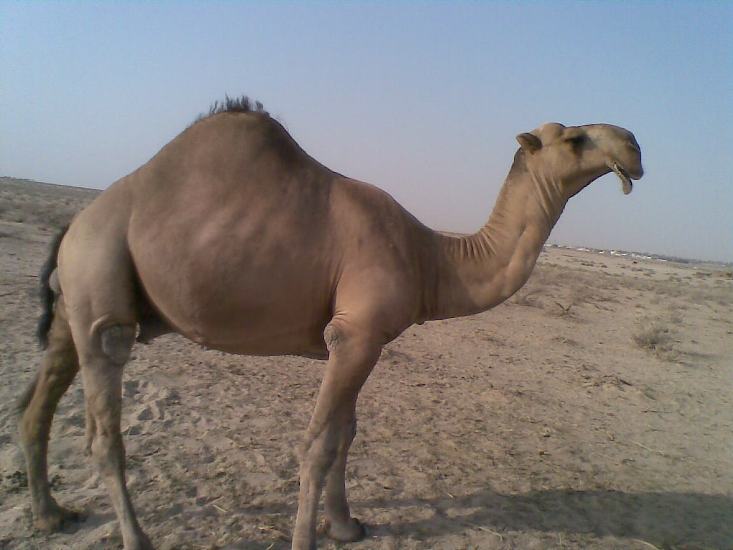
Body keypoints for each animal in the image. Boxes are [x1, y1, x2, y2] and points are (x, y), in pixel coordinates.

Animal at [16, 96, 643, 550]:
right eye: (574, 138)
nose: (635, 143)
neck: (429, 256)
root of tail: (74, 226)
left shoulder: (364, 340)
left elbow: (346, 433)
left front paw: (347, 526)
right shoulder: (355, 334)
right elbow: (318, 443)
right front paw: (308, 540)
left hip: (75, 305)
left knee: (38, 400)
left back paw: (50, 514)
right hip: (101, 281)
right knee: (104, 426)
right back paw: (136, 538)